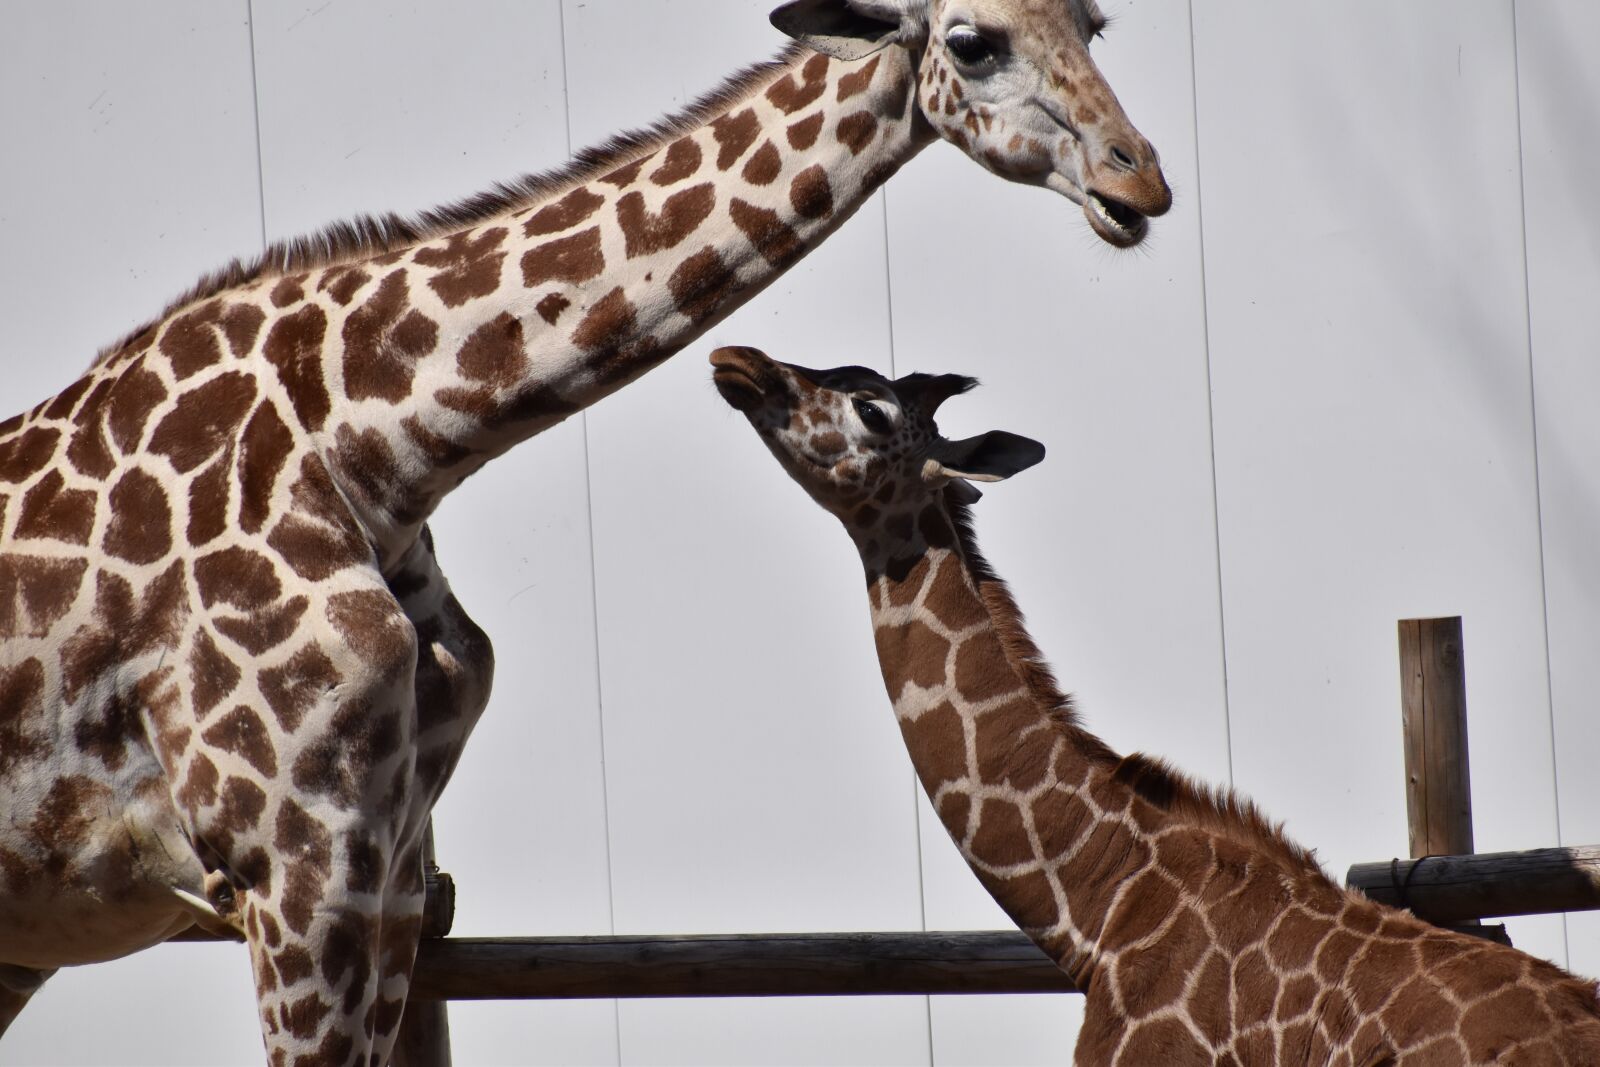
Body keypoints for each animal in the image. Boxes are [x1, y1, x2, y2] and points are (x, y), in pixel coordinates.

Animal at [0, 1, 1168, 1063]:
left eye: (1095, 24)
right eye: (973, 41)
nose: (1140, 183)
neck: (372, 445)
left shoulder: (390, 866)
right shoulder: (290, 864)